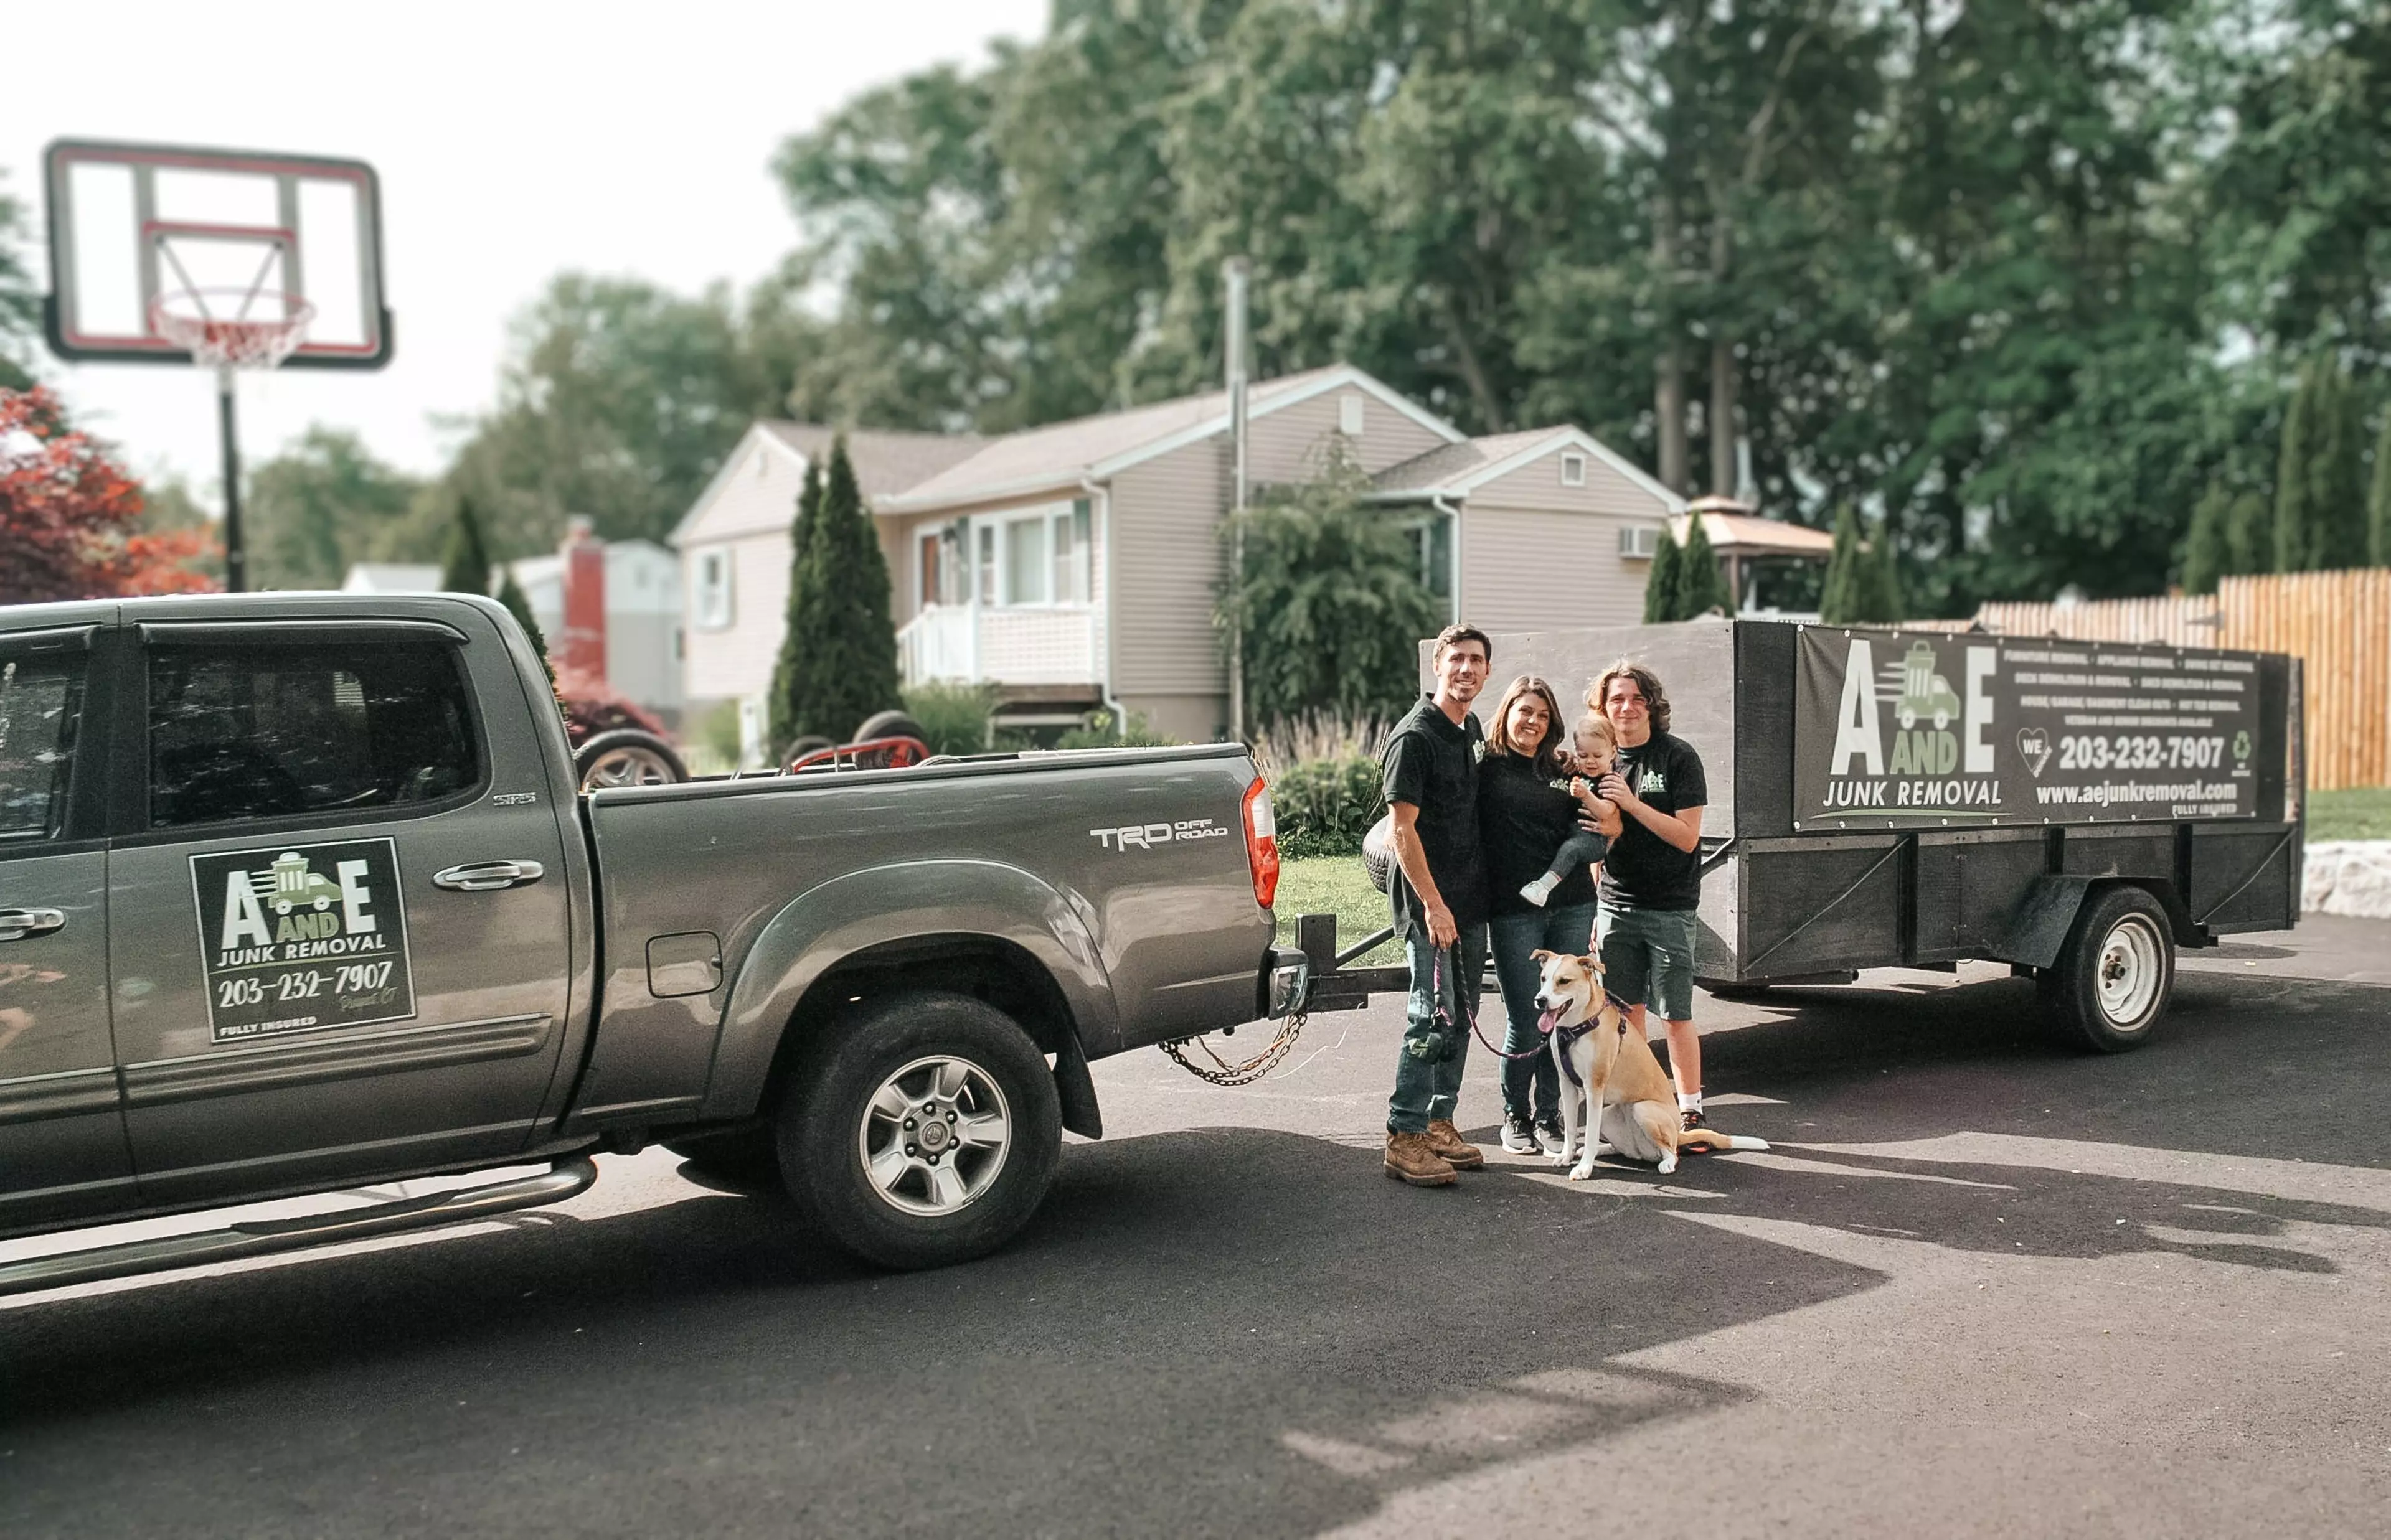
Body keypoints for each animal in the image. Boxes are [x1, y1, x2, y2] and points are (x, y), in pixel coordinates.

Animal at [1539, 951, 1769, 1181]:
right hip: (1609, 1117)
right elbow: (1571, 1128)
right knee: (1625, 1149)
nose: (1540, 1000)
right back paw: (1605, 1150)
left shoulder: (1595, 1087)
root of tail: (1678, 1133)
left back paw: (1666, 1163)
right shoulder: (1567, 1084)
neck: (1575, 1027)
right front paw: (1566, 1156)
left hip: (1644, 1109)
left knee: (1672, 1152)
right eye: (1543, 978)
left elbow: (1590, 1134)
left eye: (1564, 981)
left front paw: (1584, 1167)